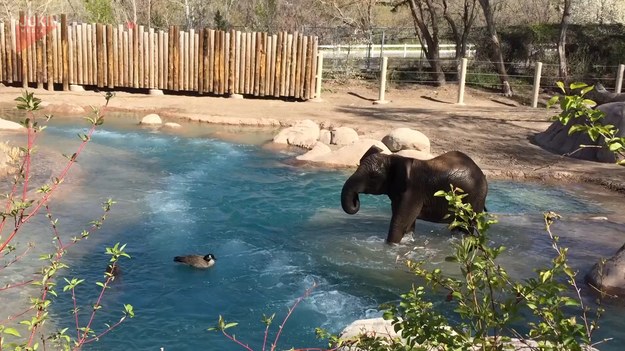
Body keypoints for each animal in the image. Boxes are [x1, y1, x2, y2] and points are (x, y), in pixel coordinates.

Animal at [342, 146, 488, 245]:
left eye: (373, 176)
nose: (356, 200)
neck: (394, 158)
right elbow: (408, 224)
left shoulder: (414, 191)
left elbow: (400, 223)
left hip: (476, 197)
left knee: (468, 225)